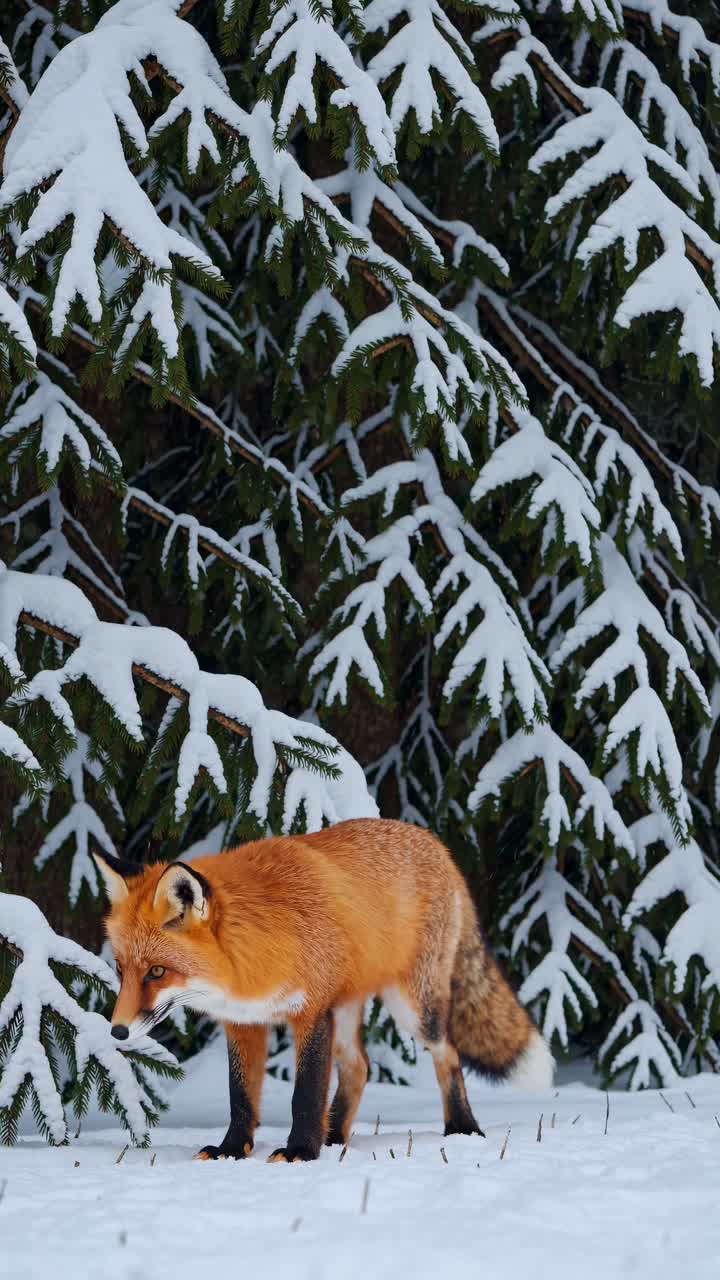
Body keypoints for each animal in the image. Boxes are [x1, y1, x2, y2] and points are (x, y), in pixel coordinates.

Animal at [93, 818, 553, 1163]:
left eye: (157, 971)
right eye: (120, 969)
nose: (117, 1032)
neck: (250, 957)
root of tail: (435, 843)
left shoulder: (311, 1011)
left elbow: (306, 1092)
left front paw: (300, 1151)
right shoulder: (243, 1023)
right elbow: (241, 1098)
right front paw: (232, 1150)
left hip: (414, 1009)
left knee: (448, 1053)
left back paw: (462, 1129)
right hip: (348, 1007)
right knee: (360, 1066)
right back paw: (334, 1136)